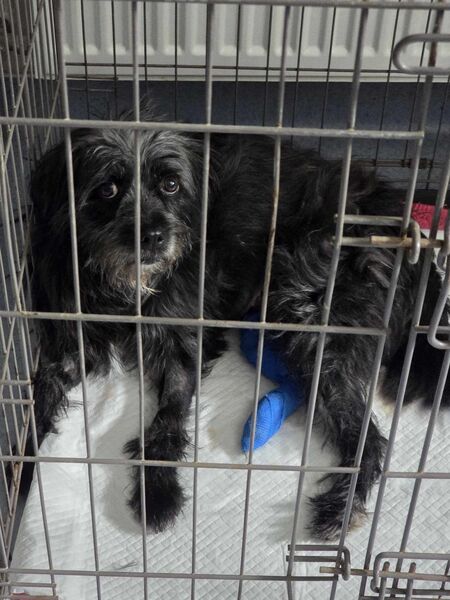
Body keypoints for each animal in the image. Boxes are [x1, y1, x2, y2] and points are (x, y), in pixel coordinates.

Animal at [29, 111, 449, 540]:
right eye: (107, 189)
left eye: (170, 184)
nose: (153, 237)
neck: (126, 289)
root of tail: (412, 240)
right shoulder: (71, 341)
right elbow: (36, 399)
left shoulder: (183, 344)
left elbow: (167, 420)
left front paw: (158, 491)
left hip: (308, 311)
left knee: (369, 440)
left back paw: (339, 510)